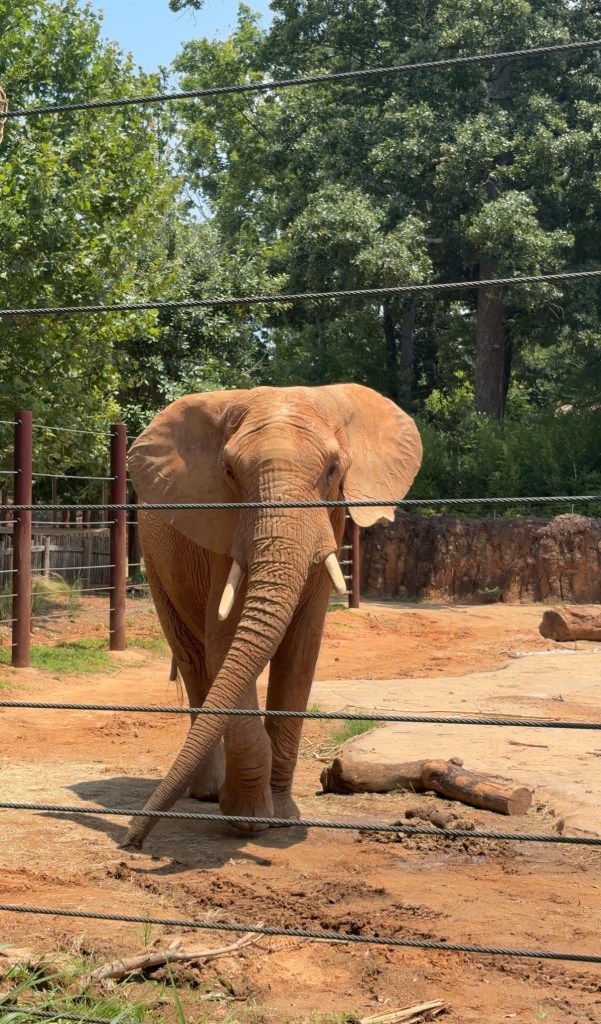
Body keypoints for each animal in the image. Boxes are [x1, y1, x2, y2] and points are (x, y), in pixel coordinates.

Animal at [123, 383, 422, 848]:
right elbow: (224, 641)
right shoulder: (222, 525)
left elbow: (301, 653)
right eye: (229, 472)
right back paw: (209, 793)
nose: (133, 841)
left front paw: (282, 819)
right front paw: (247, 819)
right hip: (155, 557)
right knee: (193, 658)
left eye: (333, 469)